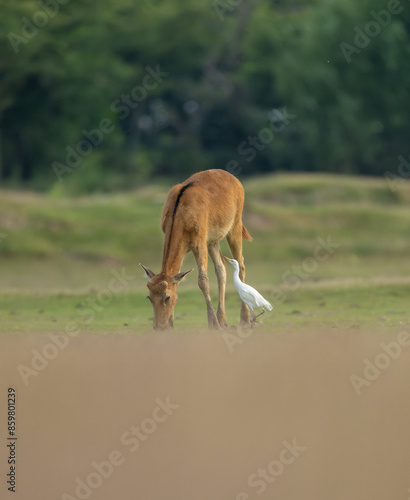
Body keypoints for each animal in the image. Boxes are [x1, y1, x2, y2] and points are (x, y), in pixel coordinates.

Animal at [139, 170, 251, 330]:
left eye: (167, 297)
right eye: (149, 297)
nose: (159, 327)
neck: (180, 216)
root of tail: (235, 179)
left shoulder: (200, 241)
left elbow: (203, 280)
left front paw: (213, 324)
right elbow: (178, 277)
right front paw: (172, 323)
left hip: (235, 224)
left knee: (240, 264)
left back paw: (245, 319)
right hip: (213, 240)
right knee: (221, 267)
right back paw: (223, 319)